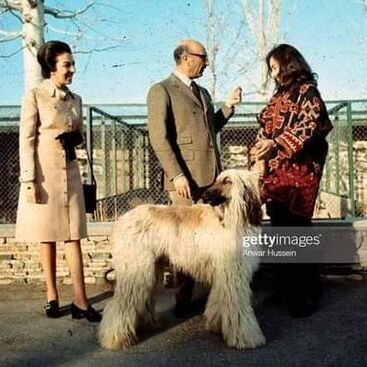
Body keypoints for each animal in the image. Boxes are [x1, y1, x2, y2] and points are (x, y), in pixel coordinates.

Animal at [98, 170, 266, 350]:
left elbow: (217, 300)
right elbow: (238, 307)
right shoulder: (233, 272)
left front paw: (215, 325)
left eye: (227, 181)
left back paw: (147, 324)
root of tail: (122, 219)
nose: (205, 196)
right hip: (135, 266)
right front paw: (246, 337)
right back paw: (115, 338)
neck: (232, 218)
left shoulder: (224, 272)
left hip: (149, 267)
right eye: (217, 180)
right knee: (119, 304)